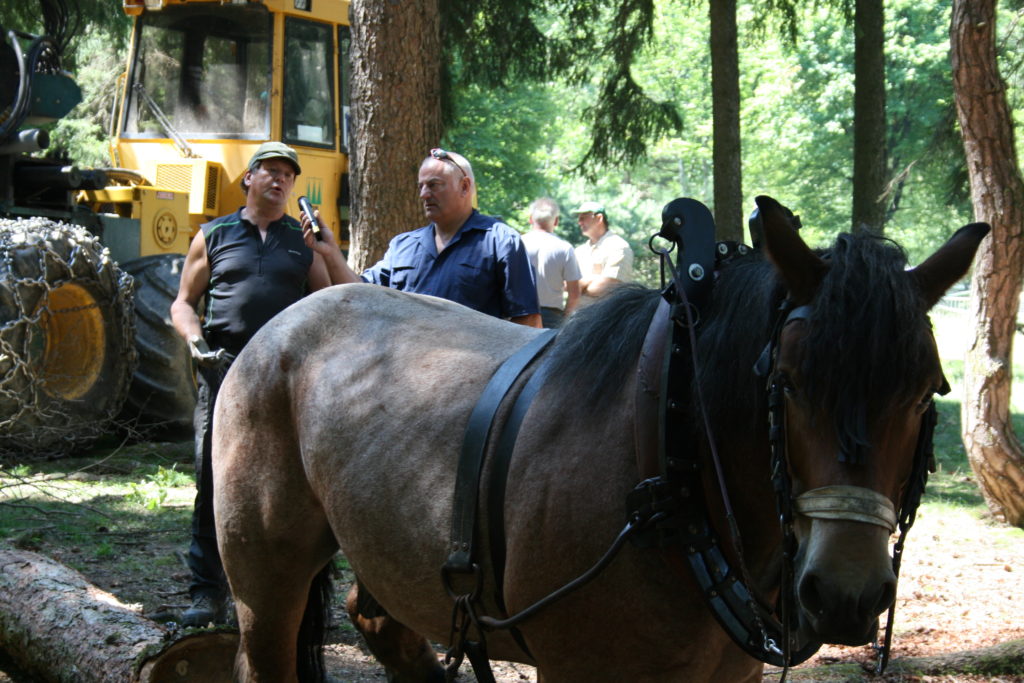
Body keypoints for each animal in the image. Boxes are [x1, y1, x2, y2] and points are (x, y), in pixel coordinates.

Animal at [211, 194, 987, 679]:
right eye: (789, 381)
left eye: (926, 391)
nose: (847, 591)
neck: (670, 455)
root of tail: (285, 321)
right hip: (265, 575)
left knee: (382, 625)